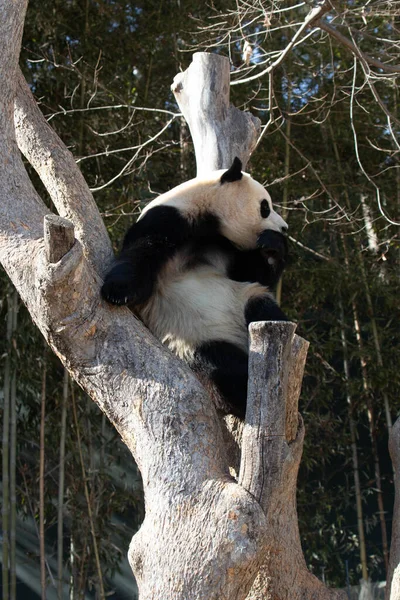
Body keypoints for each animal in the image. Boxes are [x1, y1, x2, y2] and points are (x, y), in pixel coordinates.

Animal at [101, 157, 290, 418]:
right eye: (265, 207)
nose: (284, 228)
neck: (207, 220)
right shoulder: (167, 220)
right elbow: (141, 254)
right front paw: (116, 292)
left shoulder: (225, 246)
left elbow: (253, 273)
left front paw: (273, 245)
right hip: (191, 337)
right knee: (220, 365)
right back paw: (243, 396)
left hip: (243, 300)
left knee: (264, 309)